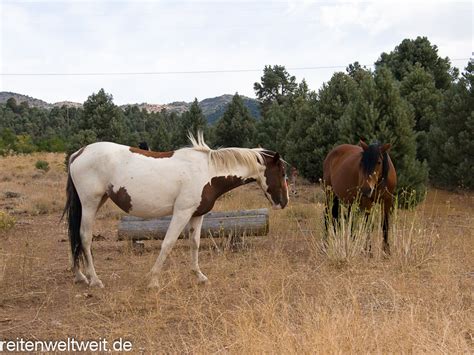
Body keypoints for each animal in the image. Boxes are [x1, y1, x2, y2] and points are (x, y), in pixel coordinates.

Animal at [63, 132, 288, 288]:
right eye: (282, 172)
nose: (284, 202)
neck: (208, 171)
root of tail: (78, 153)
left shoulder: (197, 214)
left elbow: (194, 243)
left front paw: (199, 276)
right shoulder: (182, 212)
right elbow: (168, 243)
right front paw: (153, 280)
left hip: (97, 201)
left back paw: (79, 276)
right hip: (90, 203)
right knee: (84, 237)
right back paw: (94, 280)